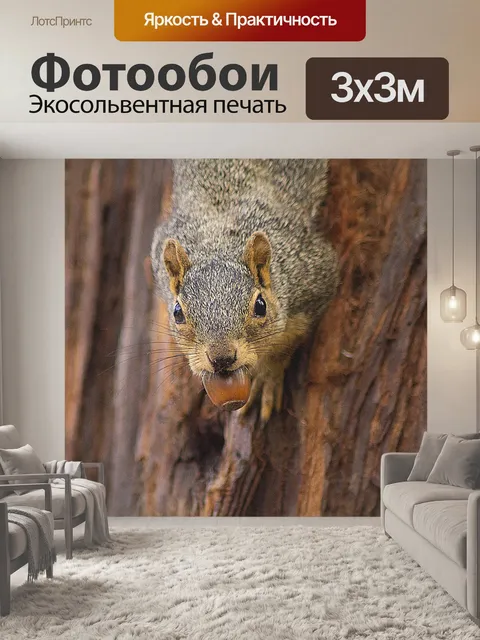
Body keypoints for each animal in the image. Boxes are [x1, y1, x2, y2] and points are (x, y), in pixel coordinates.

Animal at [149, 159, 339, 425]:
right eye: (178, 313)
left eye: (261, 306)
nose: (222, 358)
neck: (218, 242)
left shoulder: (315, 275)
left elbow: (288, 343)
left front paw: (266, 377)